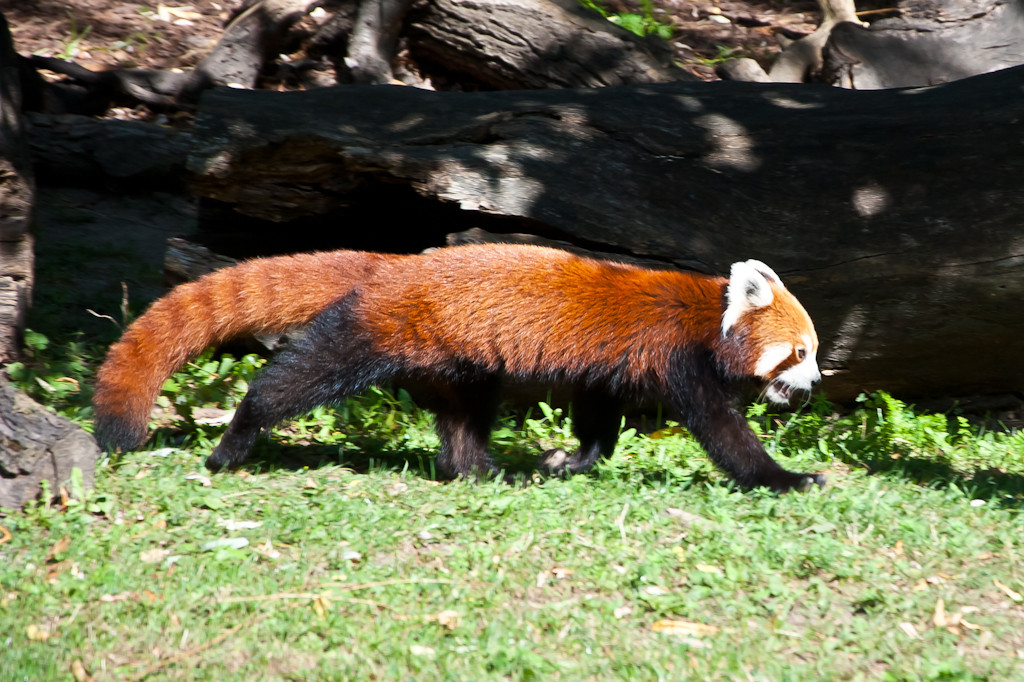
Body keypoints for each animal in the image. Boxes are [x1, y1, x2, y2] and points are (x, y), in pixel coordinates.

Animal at [94, 241, 823, 491]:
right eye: (801, 352)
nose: (815, 385)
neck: (708, 316)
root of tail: (392, 265)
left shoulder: (607, 368)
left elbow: (597, 417)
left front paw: (572, 461)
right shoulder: (679, 359)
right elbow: (722, 432)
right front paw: (786, 478)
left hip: (453, 360)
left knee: (464, 415)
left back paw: (481, 470)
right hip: (378, 332)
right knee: (295, 380)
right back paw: (234, 442)